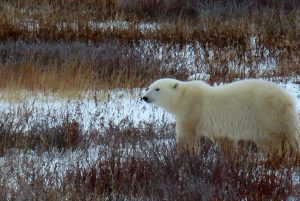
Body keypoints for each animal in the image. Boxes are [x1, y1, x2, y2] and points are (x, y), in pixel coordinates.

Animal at [142, 77, 298, 158]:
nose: (144, 97)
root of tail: (288, 98)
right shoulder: (218, 126)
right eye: (148, 87)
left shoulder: (192, 109)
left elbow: (187, 136)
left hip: (268, 113)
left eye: (157, 88)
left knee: (278, 139)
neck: (183, 96)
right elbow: (224, 139)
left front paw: (185, 155)